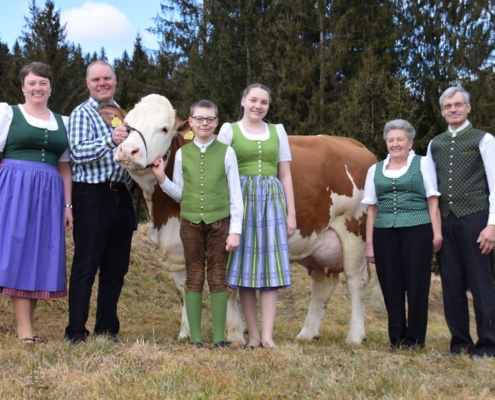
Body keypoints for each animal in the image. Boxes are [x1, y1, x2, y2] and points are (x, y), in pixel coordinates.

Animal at [113, 95, 376, 346]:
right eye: (127, 126)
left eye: (164, 128)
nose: (127, 151)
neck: (161, 213)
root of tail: (354, 144)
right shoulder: (179, 243)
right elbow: (184, 288)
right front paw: (186, 334)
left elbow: (228, 288)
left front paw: (234, 335)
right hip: (320, 241)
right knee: (323, 285)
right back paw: (307, 334)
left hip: (354, 229)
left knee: (357, 282)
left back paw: (355, 336)